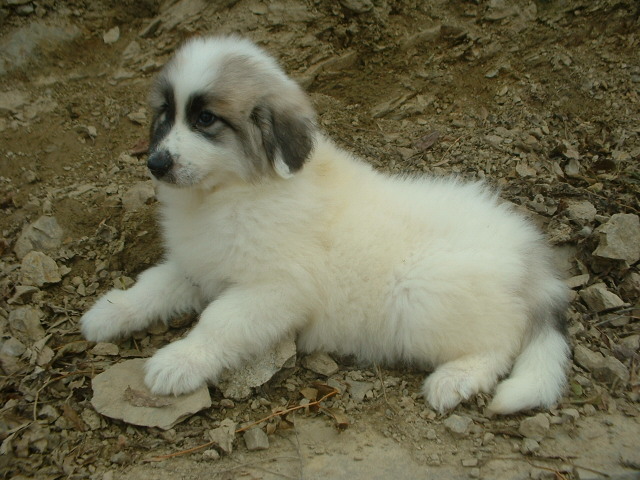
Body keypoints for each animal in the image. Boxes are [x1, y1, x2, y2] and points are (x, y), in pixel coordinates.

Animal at [81, 35, 568, 414]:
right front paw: (108, 313)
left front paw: (179, 360)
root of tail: (530, 254)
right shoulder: (199, 266)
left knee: (500, 345)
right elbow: (152, 286)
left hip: (423, 295)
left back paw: (456, 378)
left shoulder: (275, 289)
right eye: (166, 113)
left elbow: (220, 322)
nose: (156, 163)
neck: (229, 194)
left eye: (205, 119)